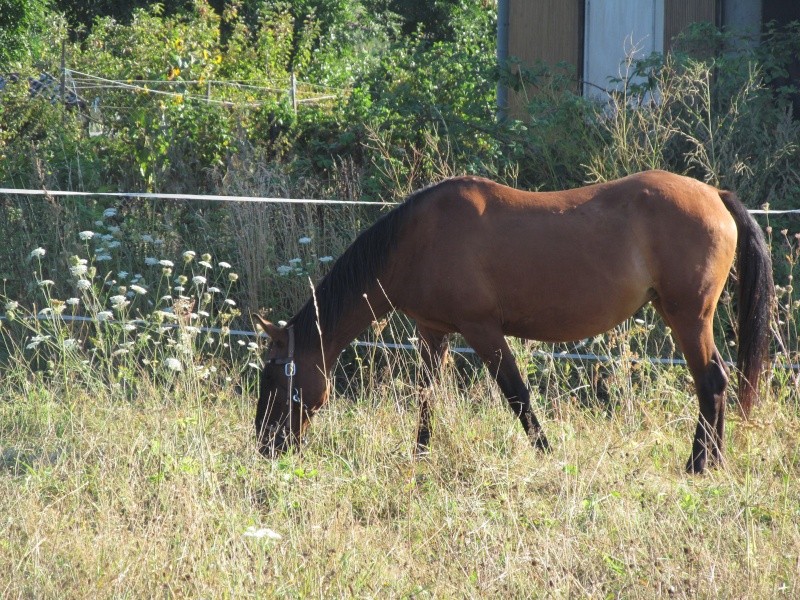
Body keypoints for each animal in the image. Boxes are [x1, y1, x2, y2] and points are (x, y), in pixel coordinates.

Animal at [253, 170, 772, 474]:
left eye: (276, 376)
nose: (264, 447)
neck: (417, 239)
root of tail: (715, 195)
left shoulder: (483, 331)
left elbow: (517, 396)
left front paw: (547, 456)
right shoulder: (433, 332)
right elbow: (426, 398)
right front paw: (419, 458)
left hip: (688, 317)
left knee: (711, 382)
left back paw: (700, 465)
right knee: (715, 383)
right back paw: (710, 462)